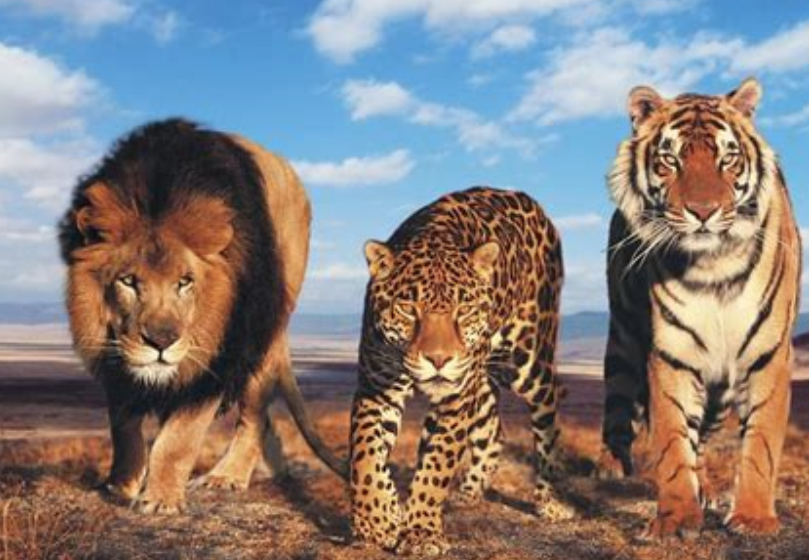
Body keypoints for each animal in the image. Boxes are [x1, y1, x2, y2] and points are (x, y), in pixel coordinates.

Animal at [349, 187, 570, 555]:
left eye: (463, 308)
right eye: (408, 308)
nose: (439, 360)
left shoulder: (454, 399)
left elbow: (437, 464)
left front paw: (420, 532)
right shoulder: (376, 388)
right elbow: (365, 454)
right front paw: (377, 519)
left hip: (529, 358)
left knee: (549, 414)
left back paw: (551, 501)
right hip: (480, 377)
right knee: (493, 432)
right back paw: (467, 493)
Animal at [602, 78, 802, 538]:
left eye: (727, 158)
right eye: (669, 160)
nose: (704, 212)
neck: (714, 266)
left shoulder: (769, 355)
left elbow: (761, 442)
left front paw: (753, 517)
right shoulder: (672, 354)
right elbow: (673, 442)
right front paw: (675, 519)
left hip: (720, 392)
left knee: (704, 438)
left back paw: (707, 489)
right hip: (623, 339)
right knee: (618, 405)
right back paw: (609, 469)